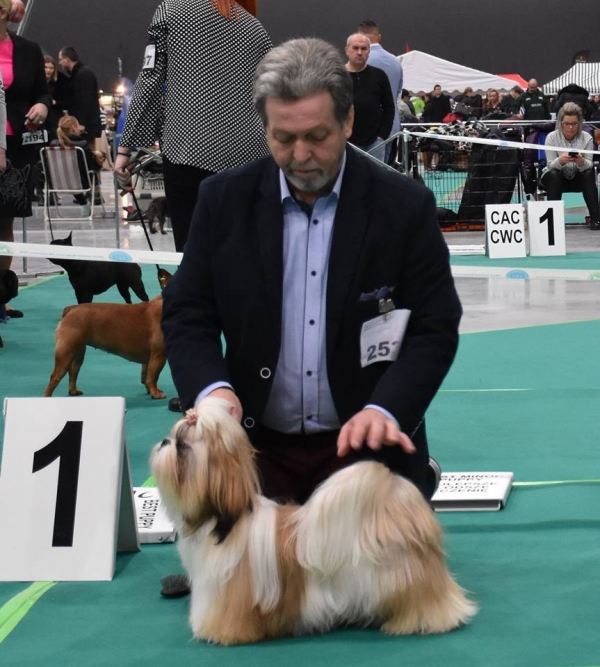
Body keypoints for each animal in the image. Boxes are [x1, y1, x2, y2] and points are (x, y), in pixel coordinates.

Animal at [151, 397, 477, 645]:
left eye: (182, 446)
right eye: (173, 436)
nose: (164, 441)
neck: (223, 522)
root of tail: (397, 500)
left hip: (408, 579)